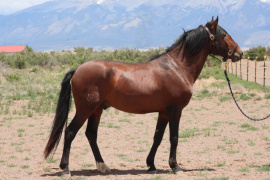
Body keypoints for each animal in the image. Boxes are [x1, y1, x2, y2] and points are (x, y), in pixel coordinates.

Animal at [43, 17, 243, 176]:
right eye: (224, 35)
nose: (239, 53)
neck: (177, 67)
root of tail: (78, 68)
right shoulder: (175, 110)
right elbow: (174, 137)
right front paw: (175, 166)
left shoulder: (163, 112)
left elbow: (157, 137)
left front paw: (151, 165)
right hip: (85, 109)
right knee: (70, 132)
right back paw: (65, 168)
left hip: (97, 110)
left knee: (91, 134)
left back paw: (103, 167)